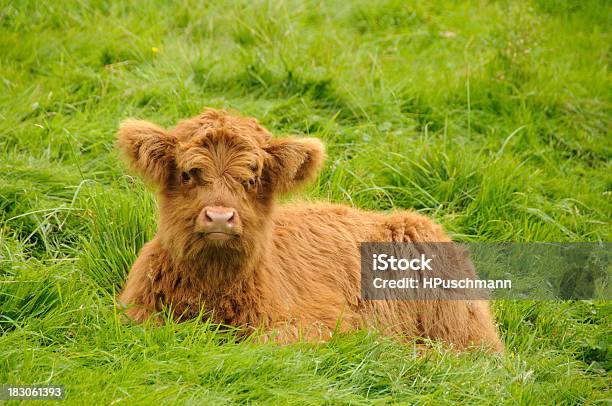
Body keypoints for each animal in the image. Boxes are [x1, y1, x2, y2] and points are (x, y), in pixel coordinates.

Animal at [117, 108, 504, 352]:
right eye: (188, 174)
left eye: (251, 179)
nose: (220, 217)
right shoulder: (135, 312)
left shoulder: (325, 323)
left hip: (456, 318)